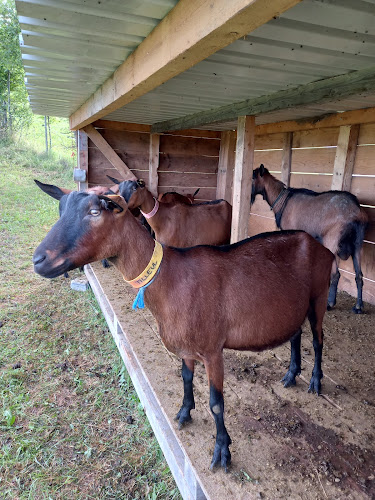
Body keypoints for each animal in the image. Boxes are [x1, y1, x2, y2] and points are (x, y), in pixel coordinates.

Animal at [33, 183, 334, 468]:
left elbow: (216, 403)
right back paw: (291, 374)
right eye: (60, 209)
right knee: (296, 334)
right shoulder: (187, 348)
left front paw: (222, 451)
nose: (39, 260)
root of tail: (322, 247)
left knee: (318, 339)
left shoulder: (213, 350)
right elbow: (186, 378)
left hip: (318, 296)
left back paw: (315, 381)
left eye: (95, 212)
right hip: (293, 306)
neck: (170, 278)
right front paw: (184, 413)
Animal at [253, 164, 370, 312]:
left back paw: (330, 303)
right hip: (358, 243)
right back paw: (358, 306)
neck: (283, 200)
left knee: (335, 274)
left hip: (332, 240)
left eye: (253, 177)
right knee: (359, 275)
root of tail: (357, 211)